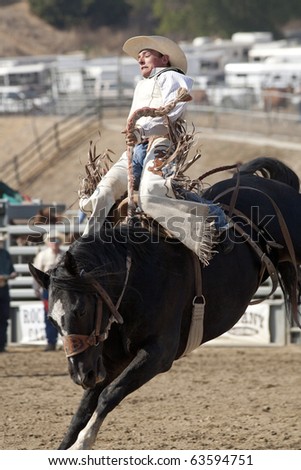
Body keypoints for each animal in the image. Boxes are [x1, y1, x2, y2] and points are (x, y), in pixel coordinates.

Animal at [28, 157, 300, 448]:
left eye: (80, 310)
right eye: (51, 319)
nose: (79, 374)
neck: (134, 281)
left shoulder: (159, 354)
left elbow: (109, 394)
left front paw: (83, 441)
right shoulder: (109, 360)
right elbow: (83, 409)